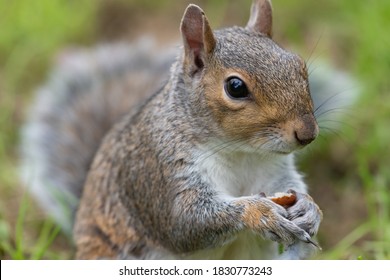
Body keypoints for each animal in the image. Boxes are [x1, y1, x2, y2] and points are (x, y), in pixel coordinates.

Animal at [20, 0, 356, 260]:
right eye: (235, 87)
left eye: (299, 65)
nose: (307, 133)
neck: (241, 151)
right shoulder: (157, 172)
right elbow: (184, 224)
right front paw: (259, 212)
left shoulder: (276, 172)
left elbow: (291, 189)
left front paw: (310, 208)